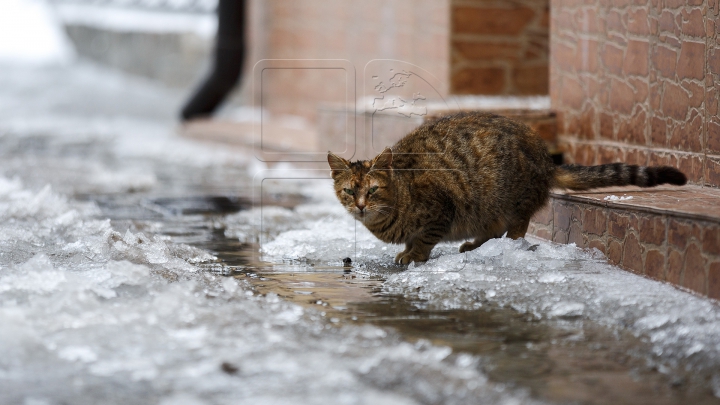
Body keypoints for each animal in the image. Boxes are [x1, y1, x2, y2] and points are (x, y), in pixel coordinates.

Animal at [328, 110, 688, 264]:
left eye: (373, 190)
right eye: (349, 191)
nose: (360, 205)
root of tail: (545, 160)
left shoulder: (441, 210)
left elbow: (425, 239)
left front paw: (413, 255)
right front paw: (407, 249)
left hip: (507, 197)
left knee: (516, 226)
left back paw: (502, 244)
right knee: (493, 228)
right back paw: (475, 245)